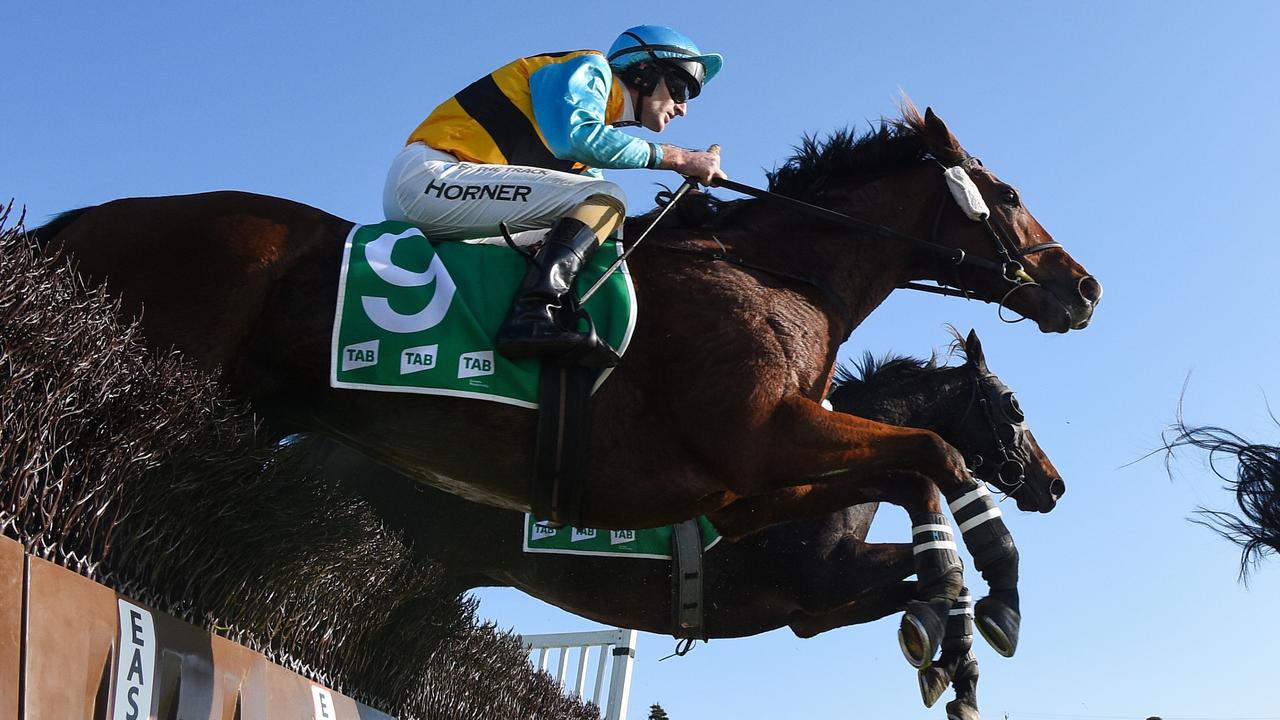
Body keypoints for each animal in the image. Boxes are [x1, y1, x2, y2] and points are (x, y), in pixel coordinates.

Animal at [37, 103, 1100, 666]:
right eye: (1007, 196)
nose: (1083, 288)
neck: (775, 275)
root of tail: (89, 215)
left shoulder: (756, 493)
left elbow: (915, 488)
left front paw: (953, 614)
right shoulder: (761, 448)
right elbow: (936, 454)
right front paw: (984, 601)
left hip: (247, 417)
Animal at [317, 326, 1059, 717]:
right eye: (1016, 405)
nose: (1053, 484)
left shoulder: (814, 612)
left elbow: (917, 587)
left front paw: (952, 664)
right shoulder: (816, 581)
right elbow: (933, 573)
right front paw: (957, 643)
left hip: (431, 577)